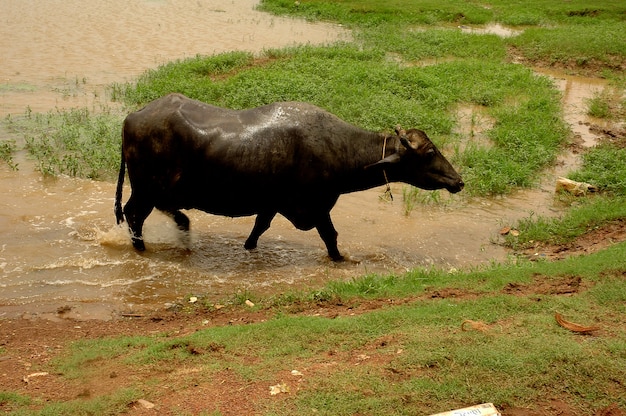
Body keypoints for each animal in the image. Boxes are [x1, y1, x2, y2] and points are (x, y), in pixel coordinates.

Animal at [114, 95, 460, 260]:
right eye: (429, 153)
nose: (458, 181)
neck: (338, 148)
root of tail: (132, 117)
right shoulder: (317, 207)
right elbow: (331, 237)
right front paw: (341, 260)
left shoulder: (271, 205)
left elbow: (257, 230)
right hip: (147, 189)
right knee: (135, 215)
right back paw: (145, 248)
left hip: (152, 190)